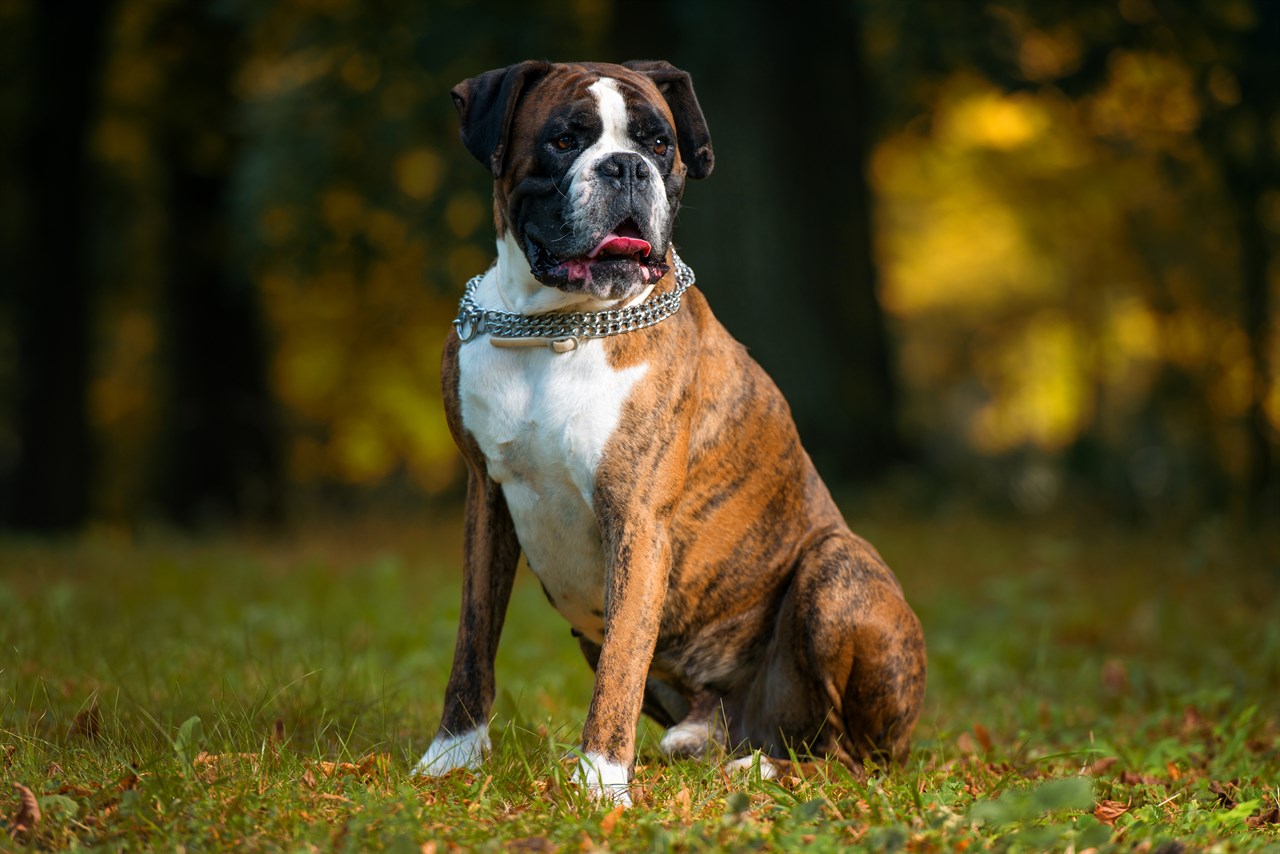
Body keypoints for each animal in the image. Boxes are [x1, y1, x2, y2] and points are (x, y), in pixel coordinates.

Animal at [414, 60, 926, 809]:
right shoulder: (487, 500)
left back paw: (765, 771)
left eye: (659, 144)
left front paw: (600, 784)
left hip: (838, 569)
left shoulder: (637, 520)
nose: (626, 166)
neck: (561, 326)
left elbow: (621, 668)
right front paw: (451, 757)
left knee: (850, 756)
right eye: (564, 140)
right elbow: (472, 642)